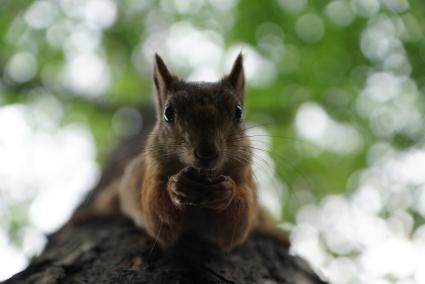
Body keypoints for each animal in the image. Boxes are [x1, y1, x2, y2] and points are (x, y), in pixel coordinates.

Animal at [78, 53, 272, 251]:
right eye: (168, 113)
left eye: (239, 112)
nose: (206, 153)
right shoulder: (152, 173)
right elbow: (155, 211)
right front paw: (176, 186)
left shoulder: (244, 176)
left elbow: (237, 224)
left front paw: (226, 190)